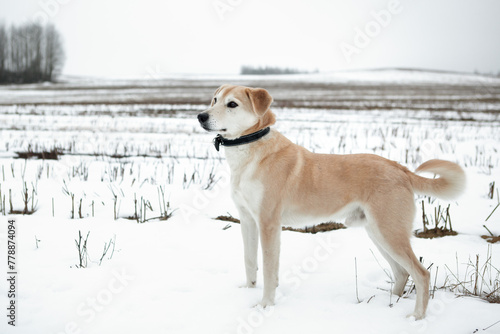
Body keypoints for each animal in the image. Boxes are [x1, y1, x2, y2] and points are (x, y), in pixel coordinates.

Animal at [197, 85, 466, 320]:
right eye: (214, 99)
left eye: (232, 104)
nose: (200, 116)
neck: (250, 150)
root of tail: (400, 168)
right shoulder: (247, 220)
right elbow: (249, 261)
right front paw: (248, 290)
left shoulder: (268, 223)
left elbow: (268, 269)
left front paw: (265, 305)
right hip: (378, 232)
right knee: (401, 272)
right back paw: (388, 304)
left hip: (389, 232)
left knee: (421, 274)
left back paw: (416, 316)